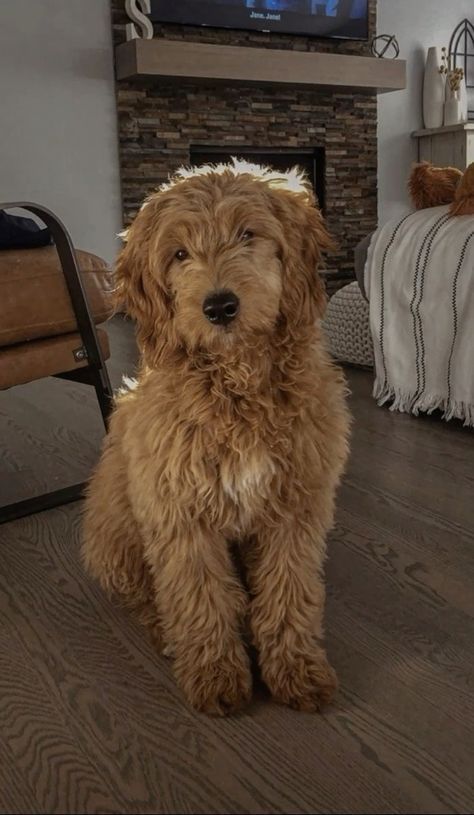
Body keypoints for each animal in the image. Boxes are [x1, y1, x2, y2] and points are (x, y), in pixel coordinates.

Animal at [81, 163, 350, 716]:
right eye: (179, 254)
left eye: (248, 234)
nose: (220, 306)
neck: (237, 385)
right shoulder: (179, 513)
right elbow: (198, 595)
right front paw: (215, 673)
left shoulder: (295, 508)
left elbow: (289, 590)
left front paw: (296, 668)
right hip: (113, 532)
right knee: (146, 592)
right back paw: (166, 632)